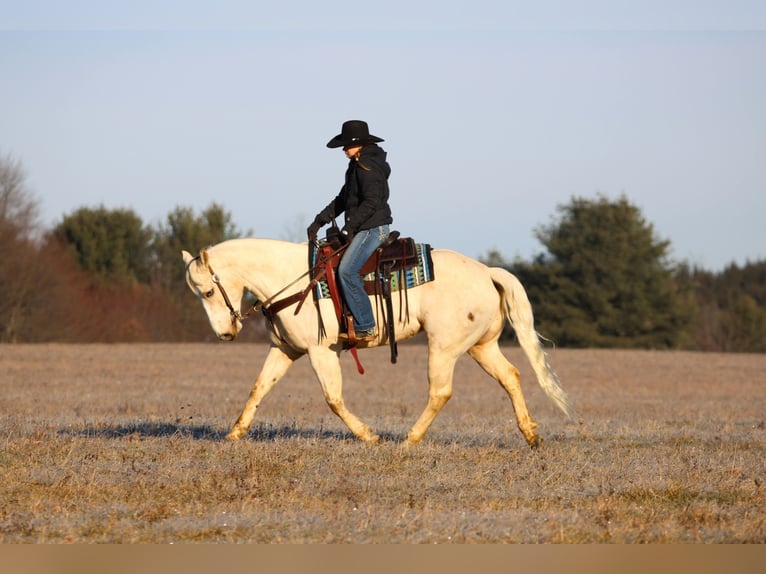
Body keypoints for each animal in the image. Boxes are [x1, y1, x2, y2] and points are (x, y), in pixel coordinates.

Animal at [182, 237, 570, 448]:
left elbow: (333, 399)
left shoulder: (321, 352)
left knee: (440, 392)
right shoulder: (285, 350)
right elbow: (259, 388)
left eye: (208, 291)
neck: (292, 280)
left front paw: (369, 436)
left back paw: (409, 440)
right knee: (511, 376)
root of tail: (488, 272)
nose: (225, 334)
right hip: (481, 347)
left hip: (443, 348)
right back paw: (531, 435)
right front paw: (234, 434)